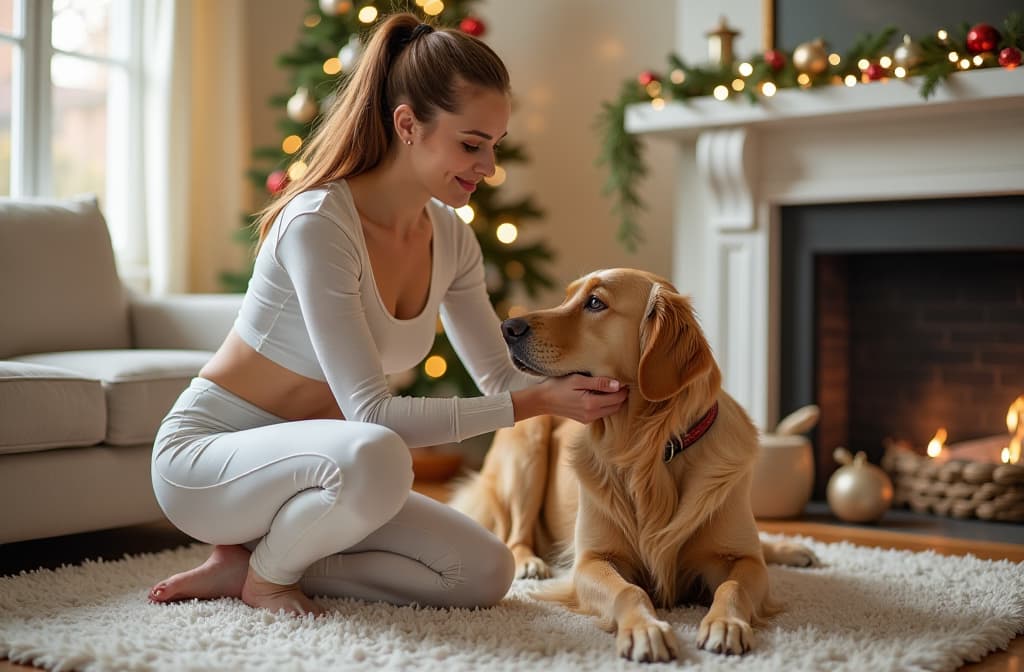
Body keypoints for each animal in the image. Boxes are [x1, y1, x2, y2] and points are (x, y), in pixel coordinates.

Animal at [452, 266, 819, 659]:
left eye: (595, 303)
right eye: (566, 297)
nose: (507, 327)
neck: (648, 451)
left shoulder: (743, 560)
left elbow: (733, 585)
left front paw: (725, 623)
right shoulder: (593, 560)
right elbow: (630, 590)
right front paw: (647, 629)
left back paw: (791, 550)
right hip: (528, 441)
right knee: (515, 533)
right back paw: (528, 562)